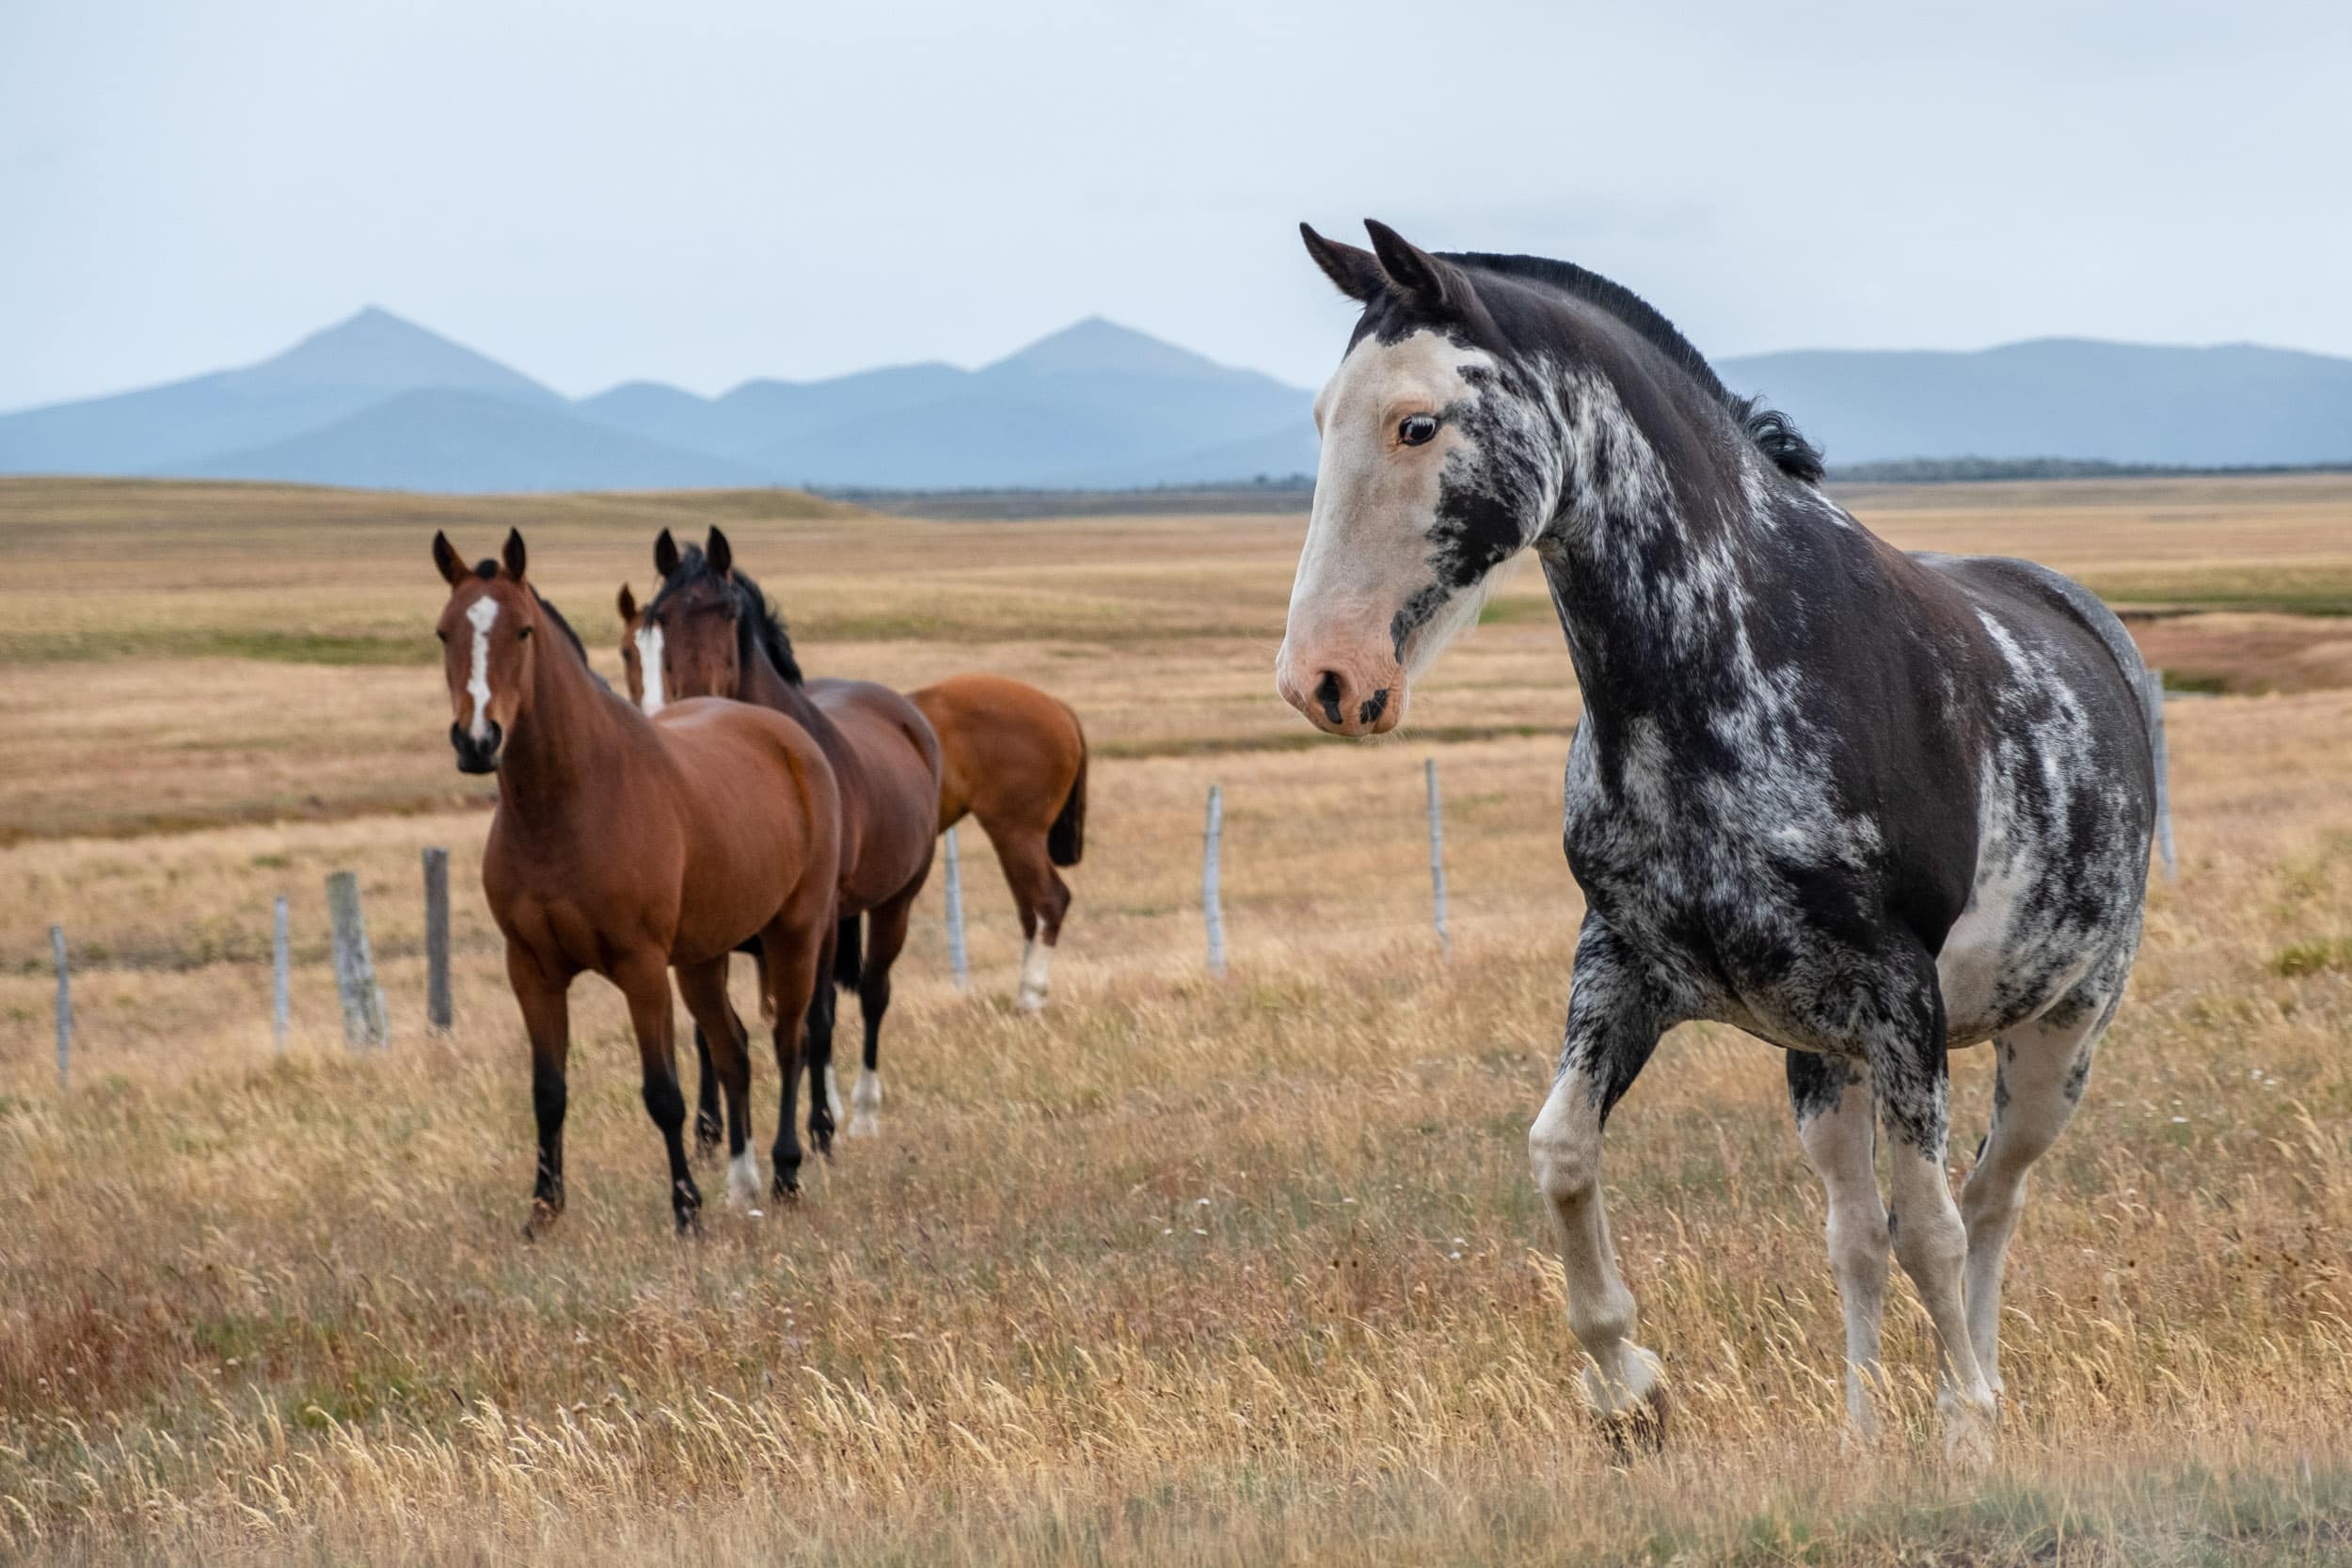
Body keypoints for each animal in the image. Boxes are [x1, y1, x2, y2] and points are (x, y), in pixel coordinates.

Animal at [433, 533, 847, 1231]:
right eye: (444, 632)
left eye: (522, 631)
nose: (477, 740)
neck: (568, 805)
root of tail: (791, 739)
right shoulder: (532, 969)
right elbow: (548, 1092)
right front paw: (543, 1210)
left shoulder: (641, 966)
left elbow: (664, 1094)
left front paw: (685, 1210)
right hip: (704, 958)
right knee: (733, 1049)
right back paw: (743, 1181)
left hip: (795, 935)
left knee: (790, 1041)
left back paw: (787, 1171)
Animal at [621, 521, 941, 1147]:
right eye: (659, 617)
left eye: (726, 611)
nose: (693, 695)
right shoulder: (707, 930)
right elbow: (708, 1033)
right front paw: (709, 1132)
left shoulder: (817, 921)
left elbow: (817, 1019)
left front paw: (818, 1130)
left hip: (894, 902)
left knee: (871, 995)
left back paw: (859, 1111)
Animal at [908, 676, 1091, 1020]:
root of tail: (1057, 706)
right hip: (1011, 842)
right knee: (1030, 913)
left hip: (1017, 835)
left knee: (1049, 901)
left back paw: (1031, 996)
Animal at [1279, 220, 2154, 1457]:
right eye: (1321, 416)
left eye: (1416, 421)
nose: (1322, 677)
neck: (1730, 663)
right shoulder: (1626, 968)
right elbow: (1560, 1152)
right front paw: (1628, 1385)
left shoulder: (1905, 1000)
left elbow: (1934, 1227)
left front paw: (1966, 1426)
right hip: (1823, 1061)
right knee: (1855, 1231)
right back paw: (1862, 1430)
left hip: (2057, 1035)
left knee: (1988, 1199)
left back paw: (1971, 1399)